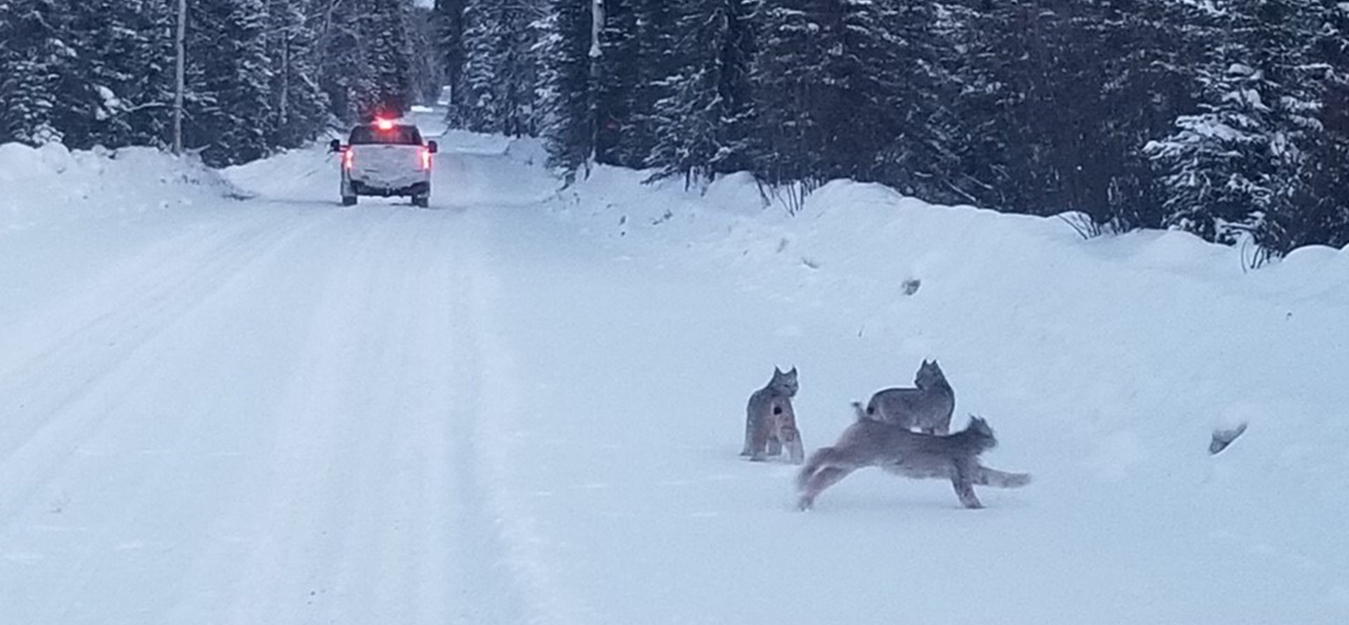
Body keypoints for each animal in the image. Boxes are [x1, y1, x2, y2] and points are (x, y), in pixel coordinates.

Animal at [793, 413, 1025, 510]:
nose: (996, 442)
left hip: (849, 465)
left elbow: (998, 477)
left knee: (824, 476)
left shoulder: (973, 472)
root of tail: (865, 420)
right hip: (856, 455)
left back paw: (805, 499)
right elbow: (969, 493)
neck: (967, 440)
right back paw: (801, 479)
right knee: (822, 453)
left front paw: (1024, 479)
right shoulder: (963, 473)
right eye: (990, 434)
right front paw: (978, 508)